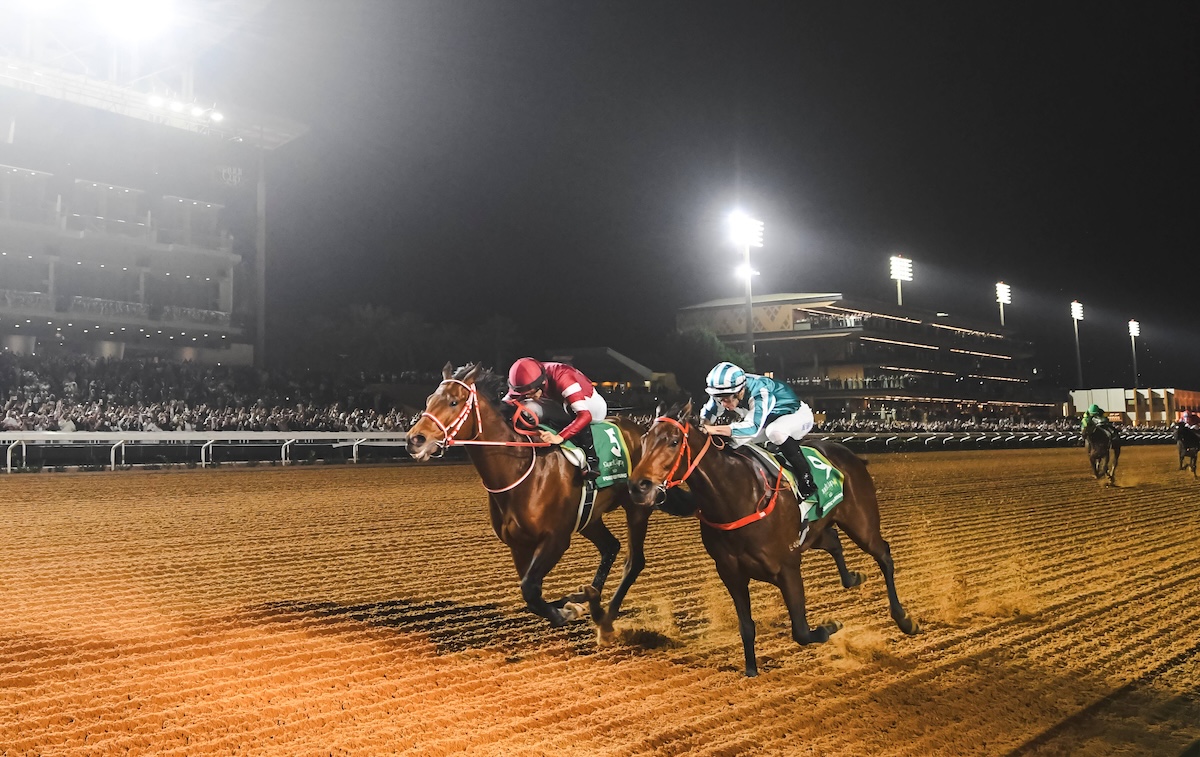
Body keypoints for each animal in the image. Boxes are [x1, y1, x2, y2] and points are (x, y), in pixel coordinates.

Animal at [405, 362, 652, 628]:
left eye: (453, 402)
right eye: (429, 400)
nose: (415, 440)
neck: (520, 469)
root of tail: (642, 429)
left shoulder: (556, 539)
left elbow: (530, 590)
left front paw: (565, 612)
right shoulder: (518, 544)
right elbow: (530, 592)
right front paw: (568, 605)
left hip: (637, 507)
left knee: (634, 561)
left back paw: (607, 613)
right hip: (589, 516)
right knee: (610, 547)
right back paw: (586, 597)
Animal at [628, 400, 916, 676]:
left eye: (673, 441)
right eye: (645, 440)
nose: (638, 486)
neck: (738, 496)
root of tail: (851, 455)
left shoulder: (787, 567)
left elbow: (801, 631)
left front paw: (829, 627)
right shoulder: (731, 572)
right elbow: (746, 626)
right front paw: (751, 671)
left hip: (861, 524)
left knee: (884, 555)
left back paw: (904, 619)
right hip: (814, 532)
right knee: (834, 540)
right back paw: (852, 579)